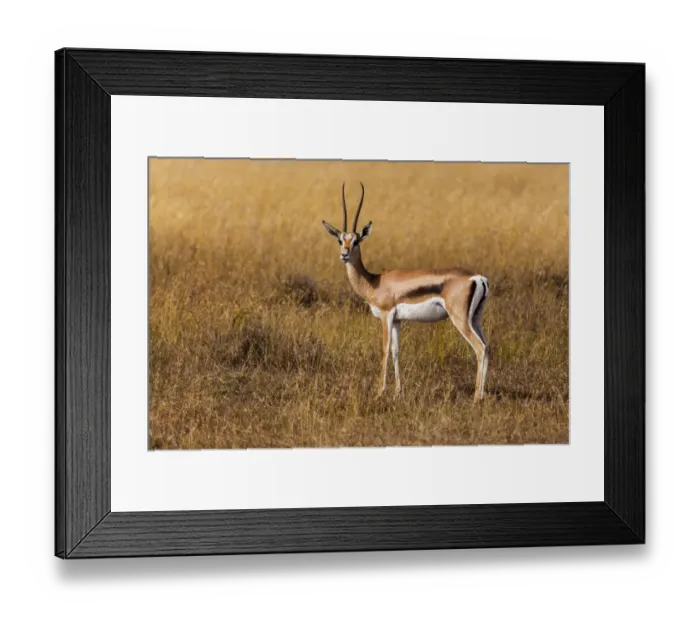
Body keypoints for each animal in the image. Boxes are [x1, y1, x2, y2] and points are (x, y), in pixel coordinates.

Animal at [322, 182, 490, 402]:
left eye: (357, 241)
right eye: (341, 241)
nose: (344, 255)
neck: (374, 282)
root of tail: (477, 278)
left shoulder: (386, 315)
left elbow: (384, 350)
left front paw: (380, 391)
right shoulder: (397, 320)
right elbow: (396, 352)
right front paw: (397, 391)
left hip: (460, 319)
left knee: (479, 348)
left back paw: (476, 397)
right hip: (475, 319)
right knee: (487, 347)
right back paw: (483, 394)